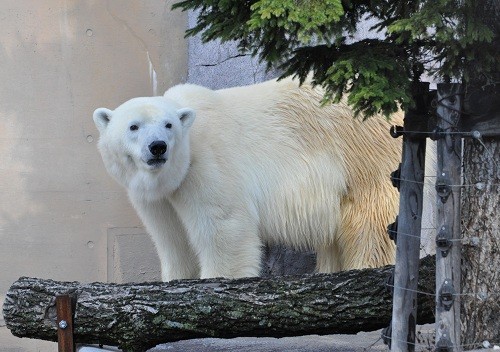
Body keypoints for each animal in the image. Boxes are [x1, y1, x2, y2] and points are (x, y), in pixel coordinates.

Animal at [92, 77, 400, 280]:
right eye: (134, 126)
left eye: (168, 125)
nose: (158, 147)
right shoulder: (159, 198)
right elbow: (173, 238)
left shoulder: (207, 164)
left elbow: (224, 226)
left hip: (363, 152)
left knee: (372, 218)